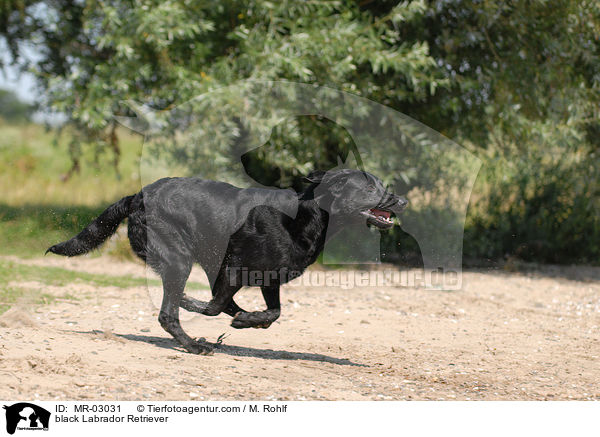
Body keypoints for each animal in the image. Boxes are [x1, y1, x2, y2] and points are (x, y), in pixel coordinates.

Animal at [48, 169, 408, 352]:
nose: (403, 200)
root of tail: (136, 197)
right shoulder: (234, 268)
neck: (305, 215)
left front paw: (249, 319)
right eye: (371, 188)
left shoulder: (268, 279)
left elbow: (274, 313)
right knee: (169, 314)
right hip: (179, 259)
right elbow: (211, 306)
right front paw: (205, 308)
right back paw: (194, 344)